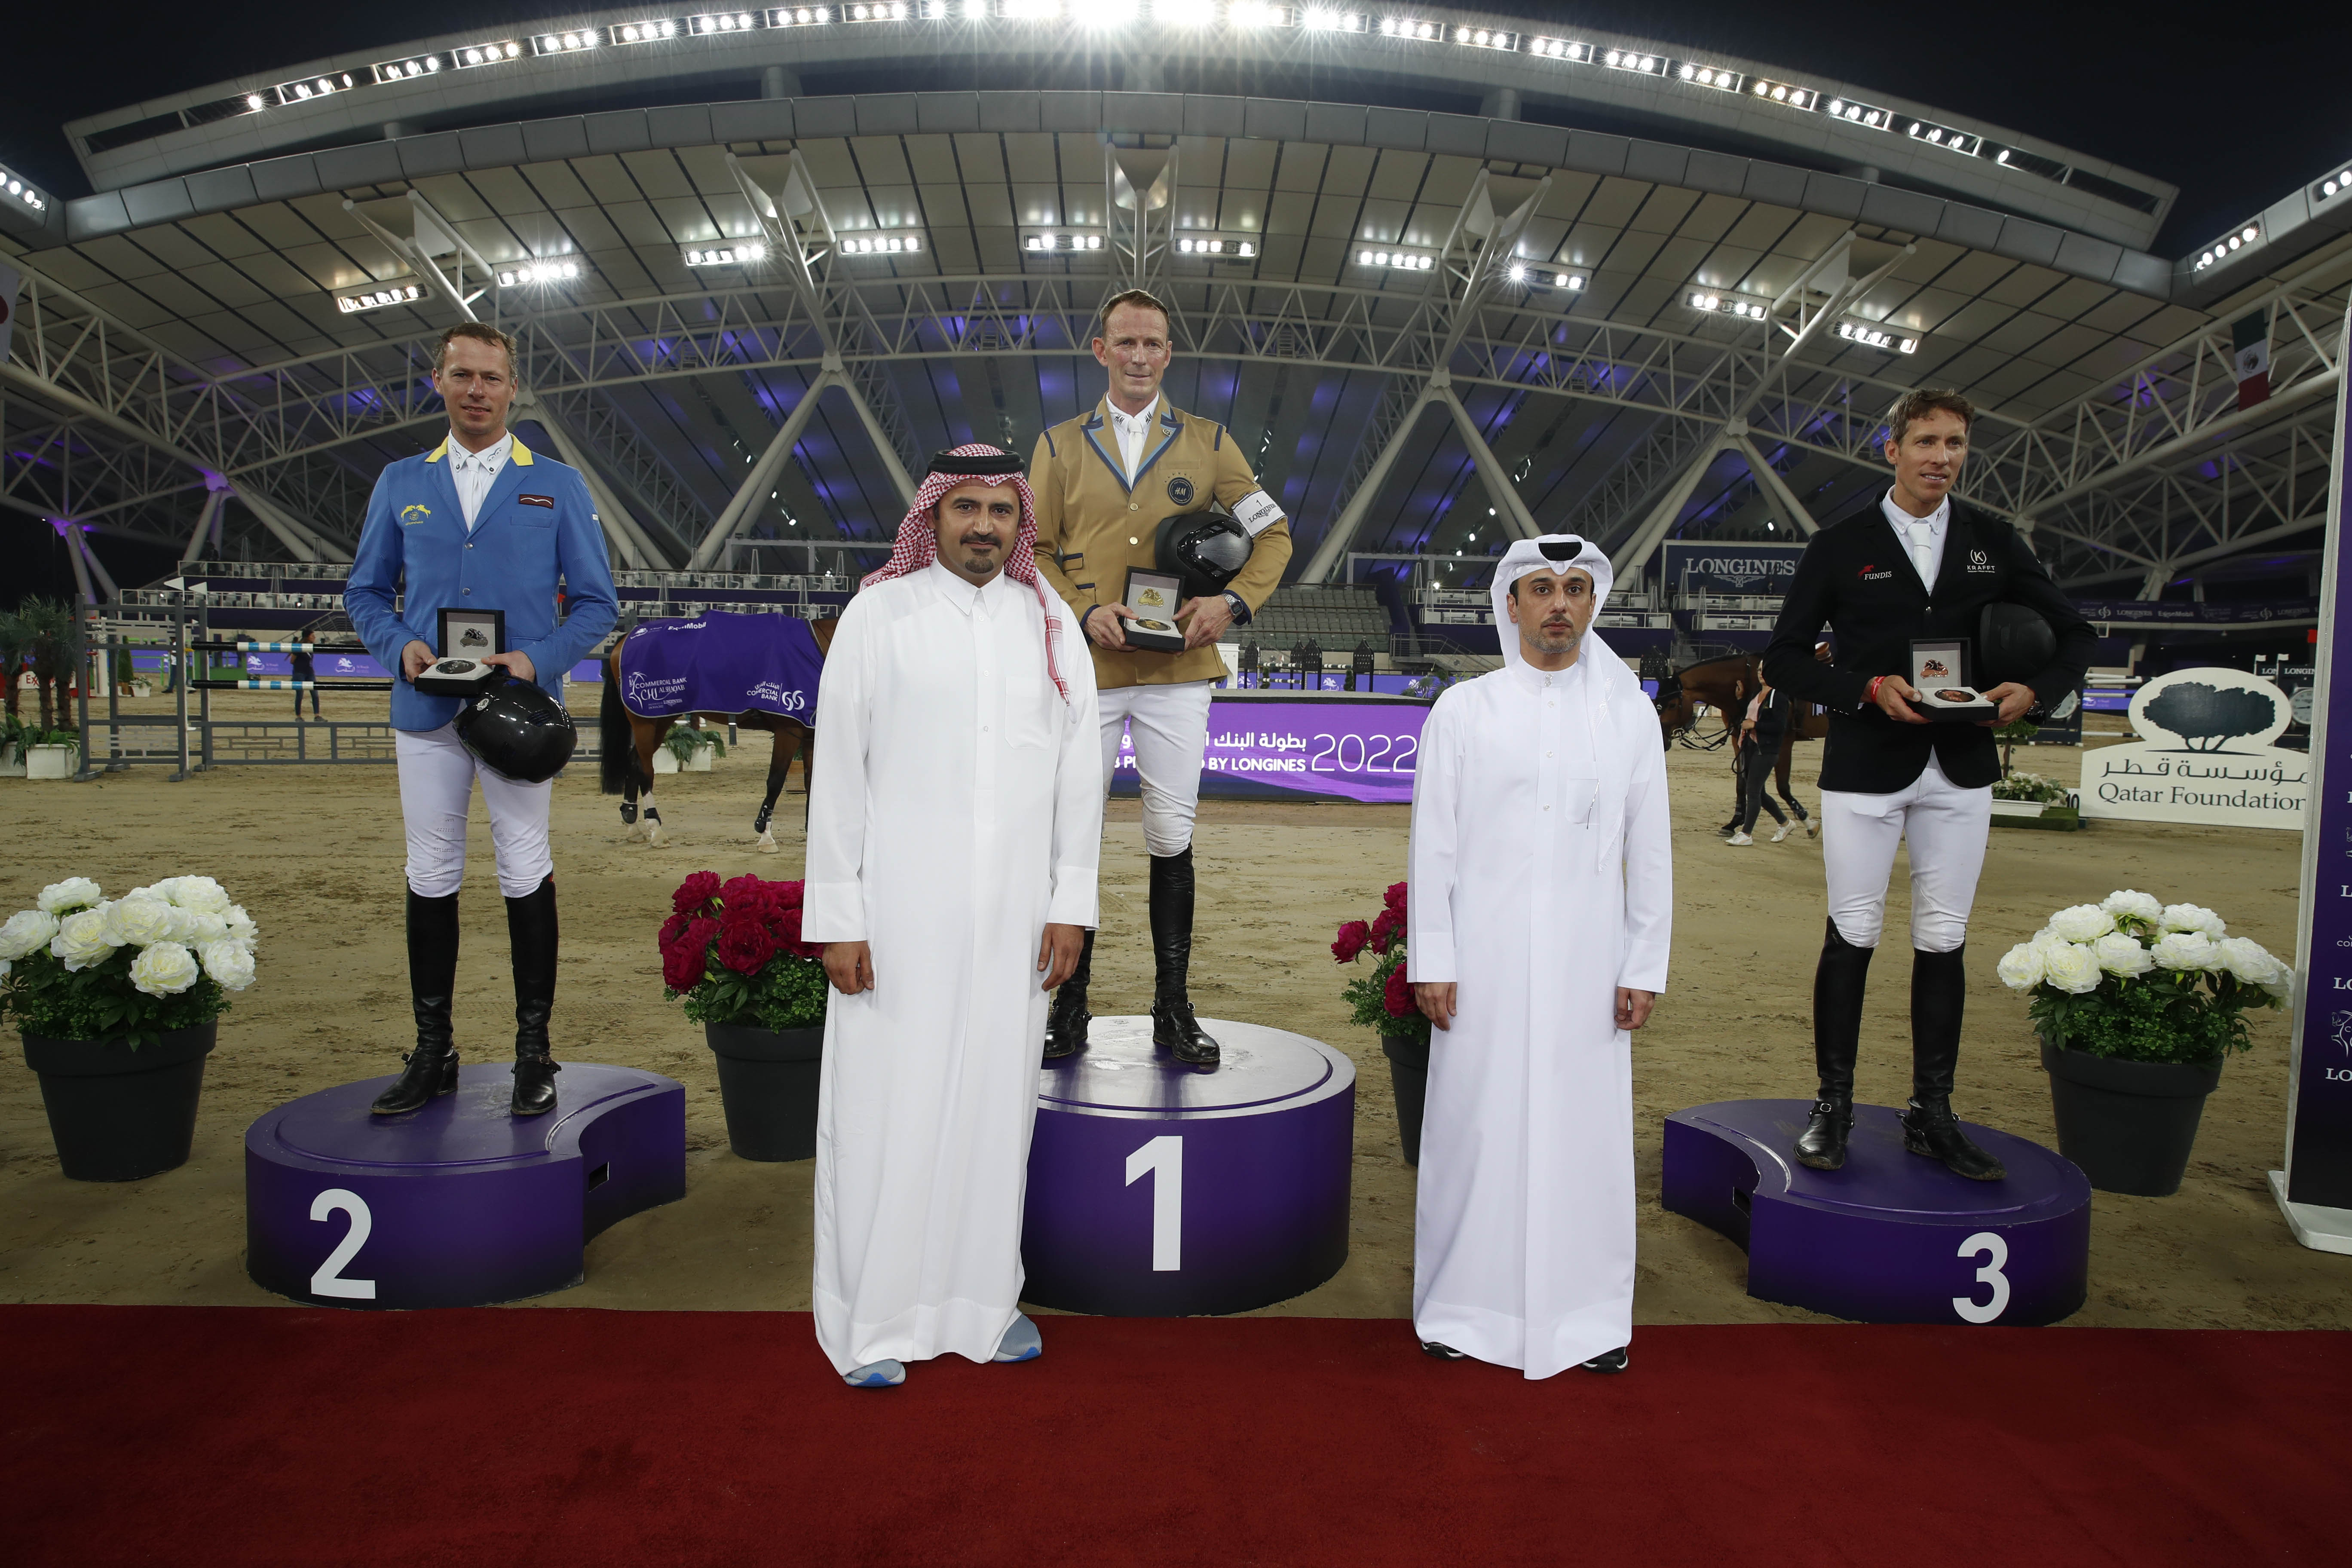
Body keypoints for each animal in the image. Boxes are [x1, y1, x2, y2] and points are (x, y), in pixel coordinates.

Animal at [602, 620, 842, 851]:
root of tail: (628, 637)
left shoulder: (810, 735)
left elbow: (810, 781)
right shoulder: (788, 732)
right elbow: (776, 781)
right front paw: (765, 835)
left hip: (661, 720)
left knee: (634, 762)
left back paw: (633, 826)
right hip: (645, 721)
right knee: (645, 770)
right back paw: (656, 830)